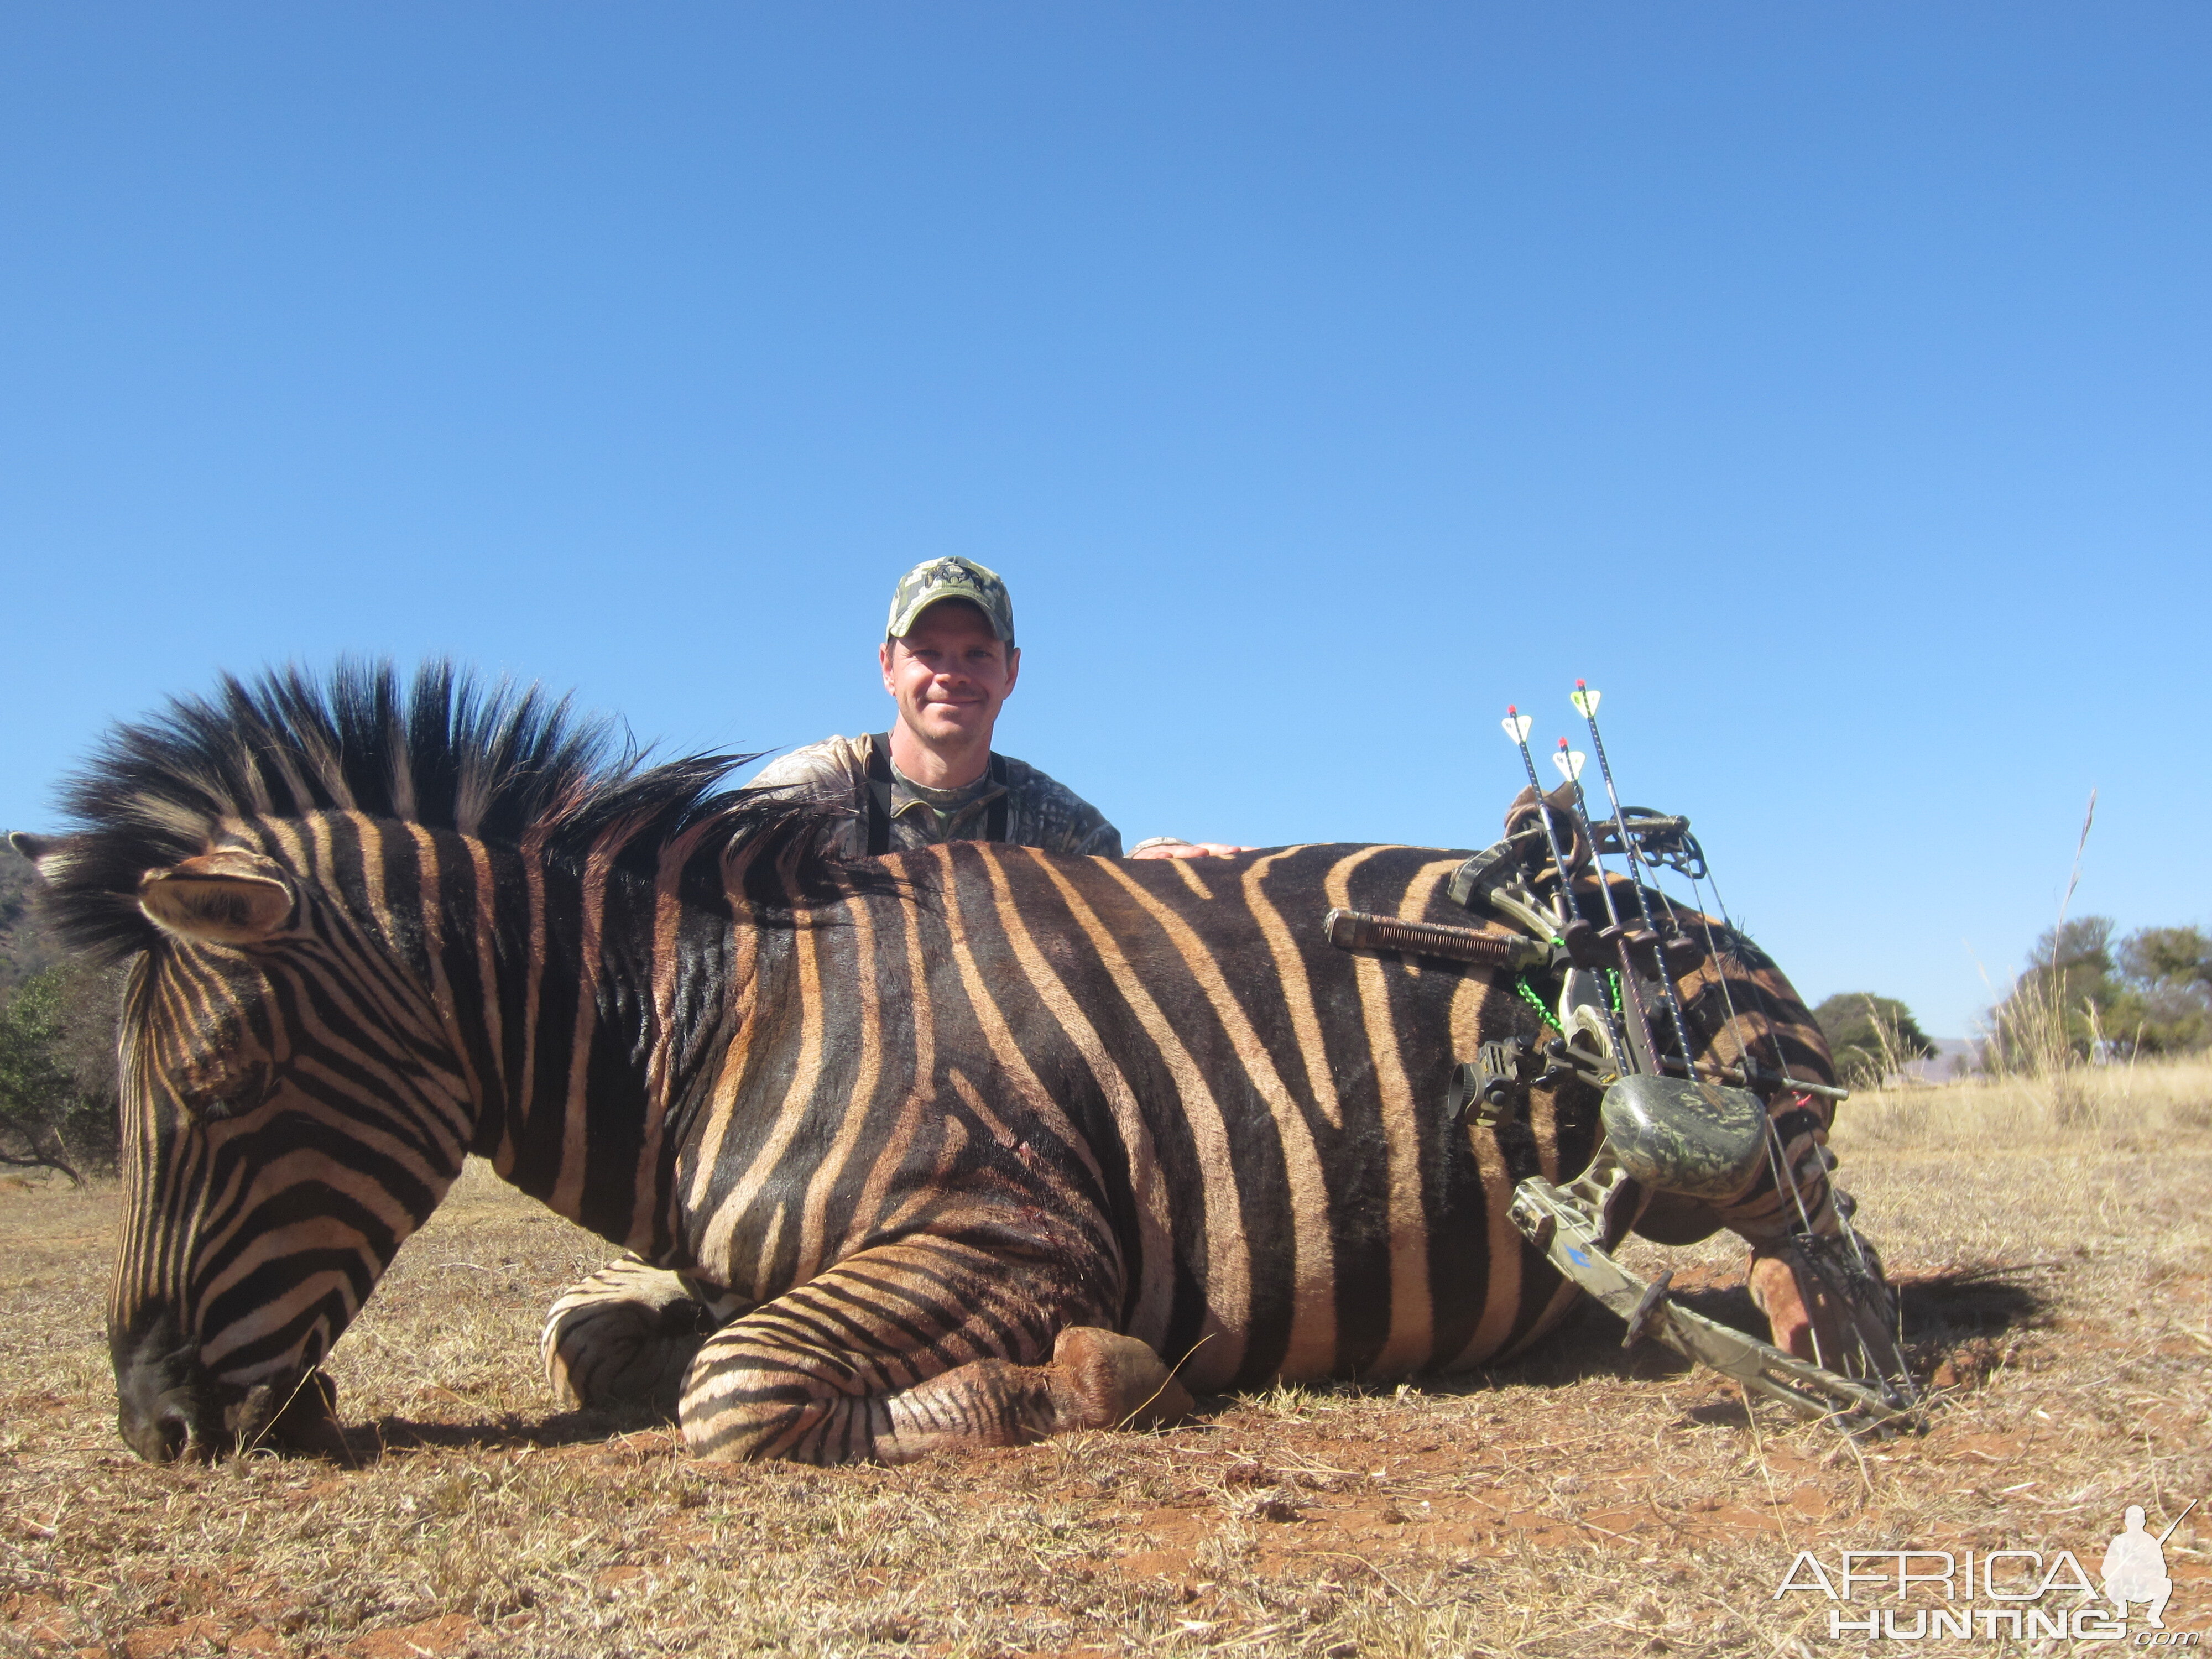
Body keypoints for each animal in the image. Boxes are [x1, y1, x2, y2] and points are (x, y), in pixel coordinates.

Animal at [17, 664, 1885, 1469]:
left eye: (216, 1090)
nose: (150, 1424)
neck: (716, 1031)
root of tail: (1630, 892)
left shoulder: (1009, 1231)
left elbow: (734, 1390)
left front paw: (1093, 1374)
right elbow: (600, 1340)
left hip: (1736, 1103)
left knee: (1812, 1227)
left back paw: (1803, 1328)